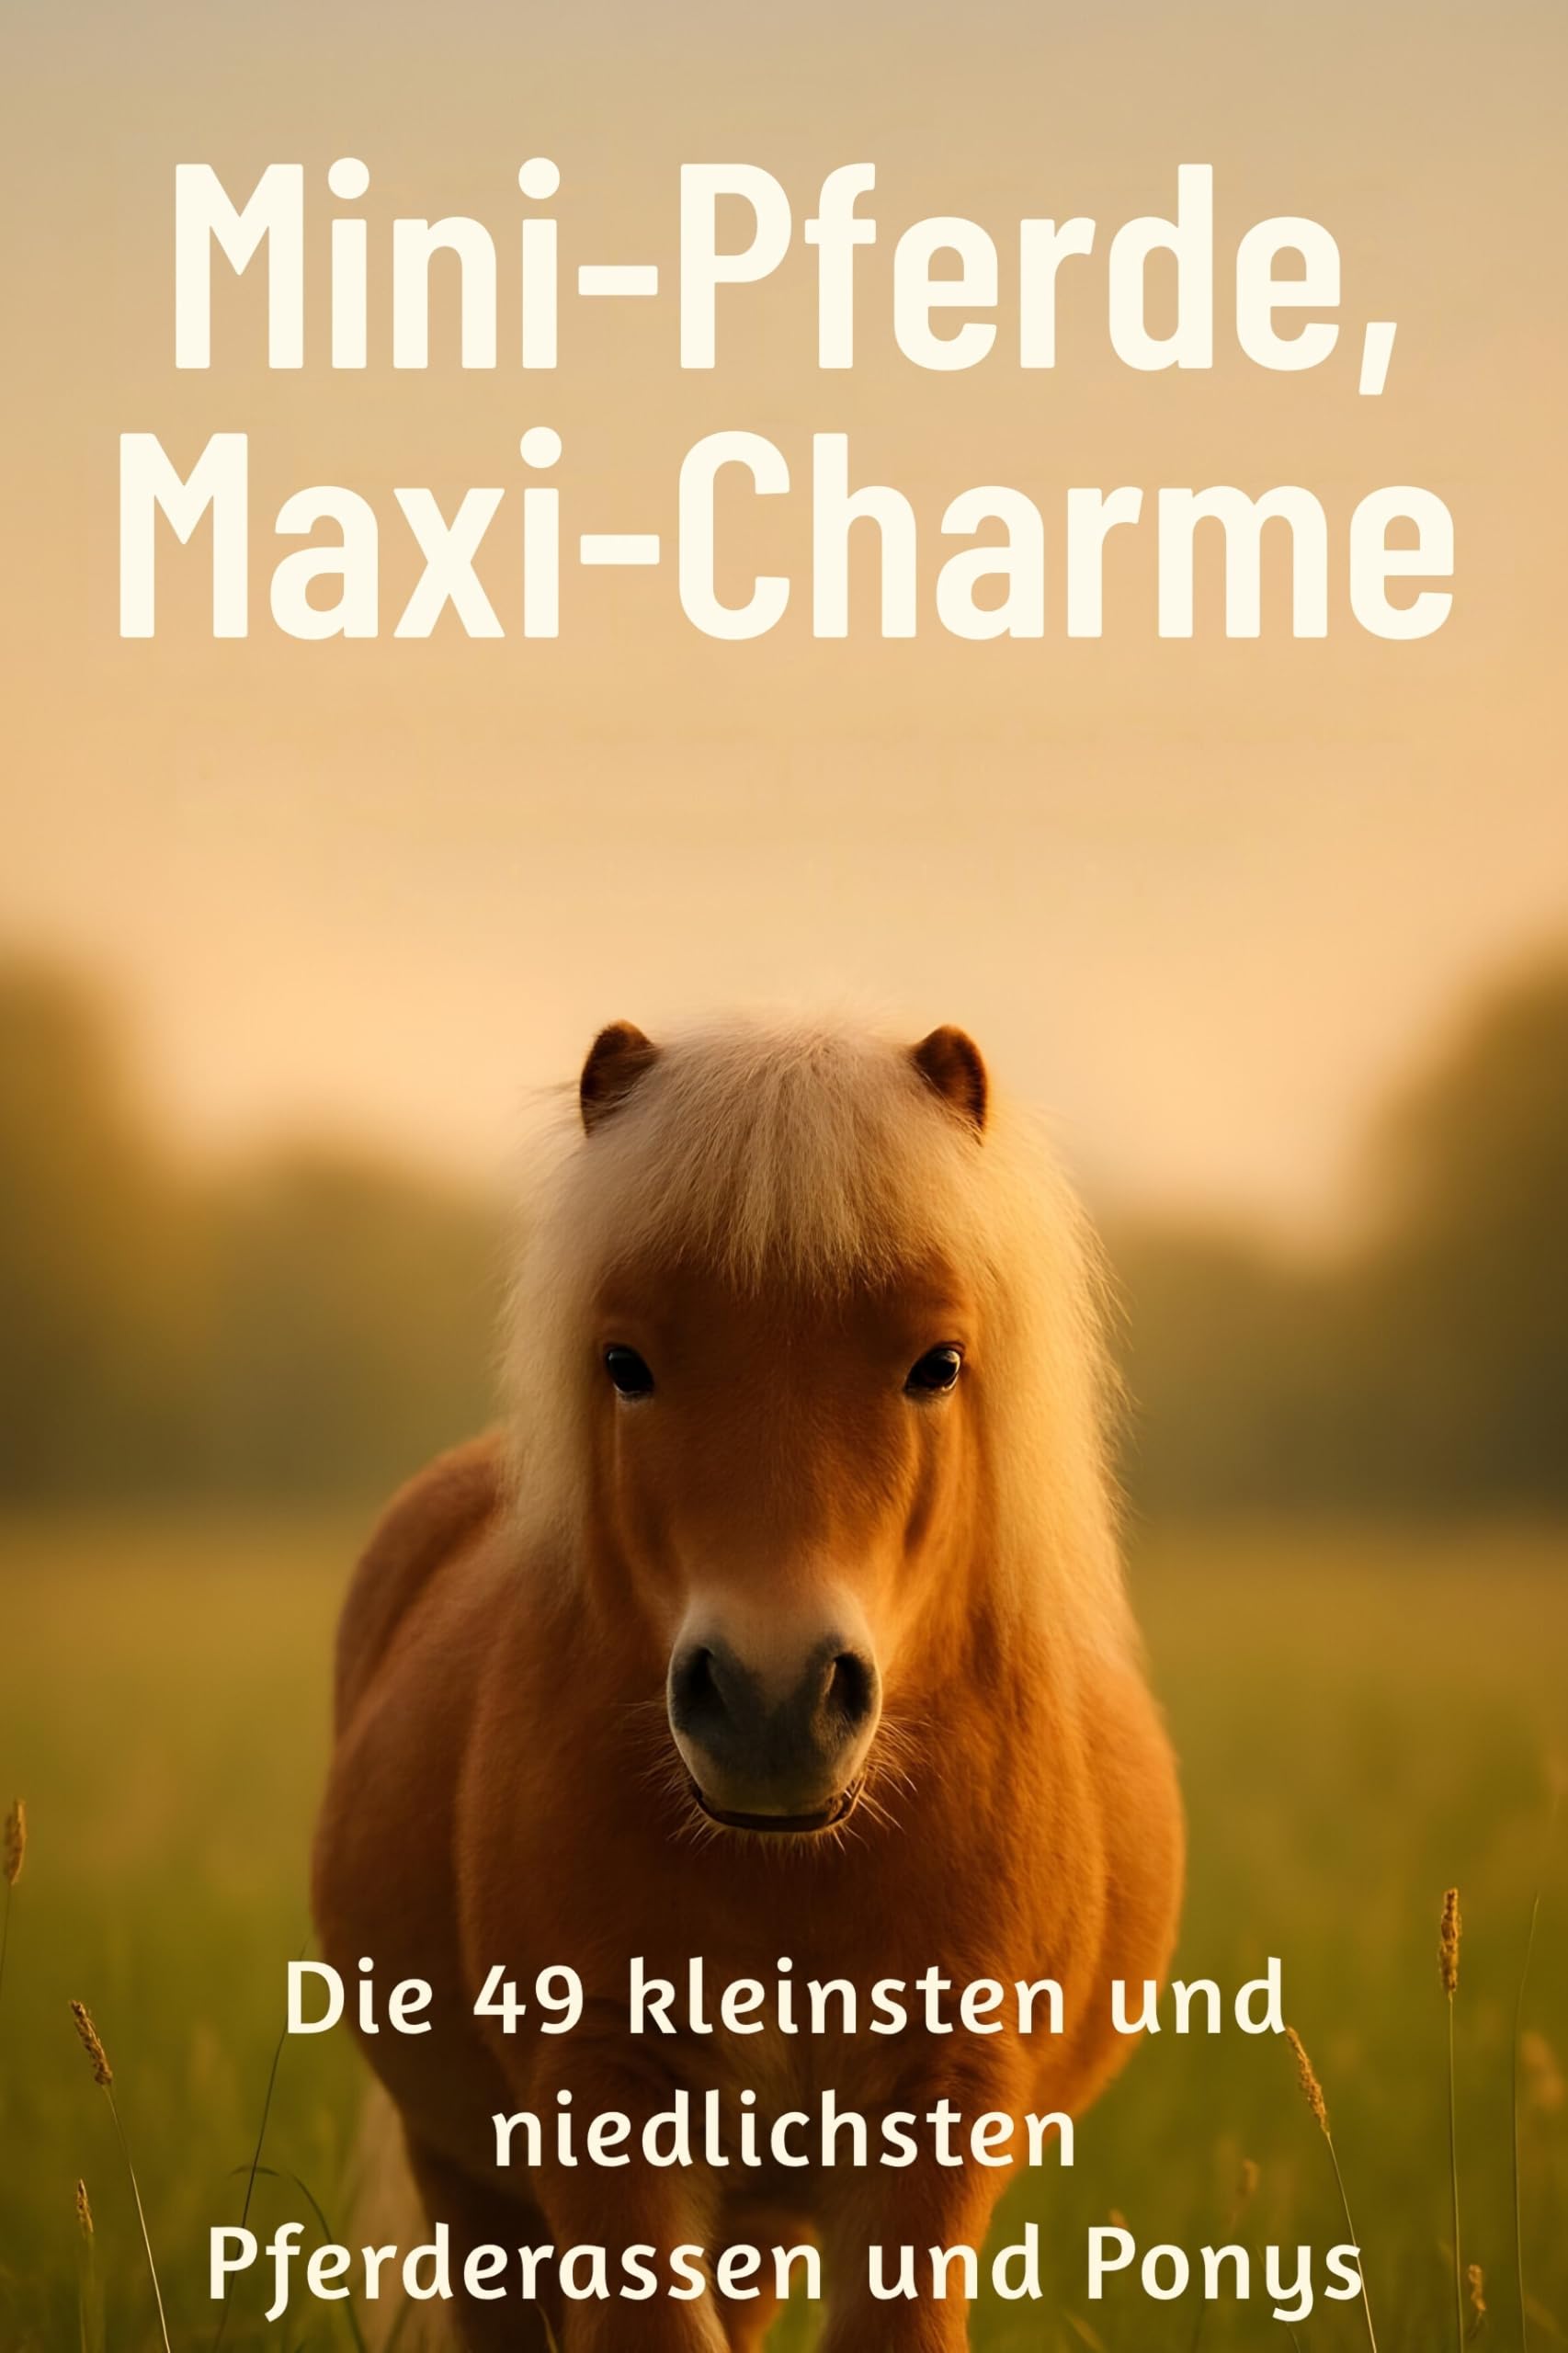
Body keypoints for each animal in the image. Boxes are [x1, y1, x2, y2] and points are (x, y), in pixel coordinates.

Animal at [311, 1012, 1183, 2353]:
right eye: (623, 1361)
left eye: (938, 1362)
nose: (773, 1705)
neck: (790, 1874)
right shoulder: (600, 2100)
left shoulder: (936, 2114)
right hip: (466, 2172)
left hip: (756, 2209)